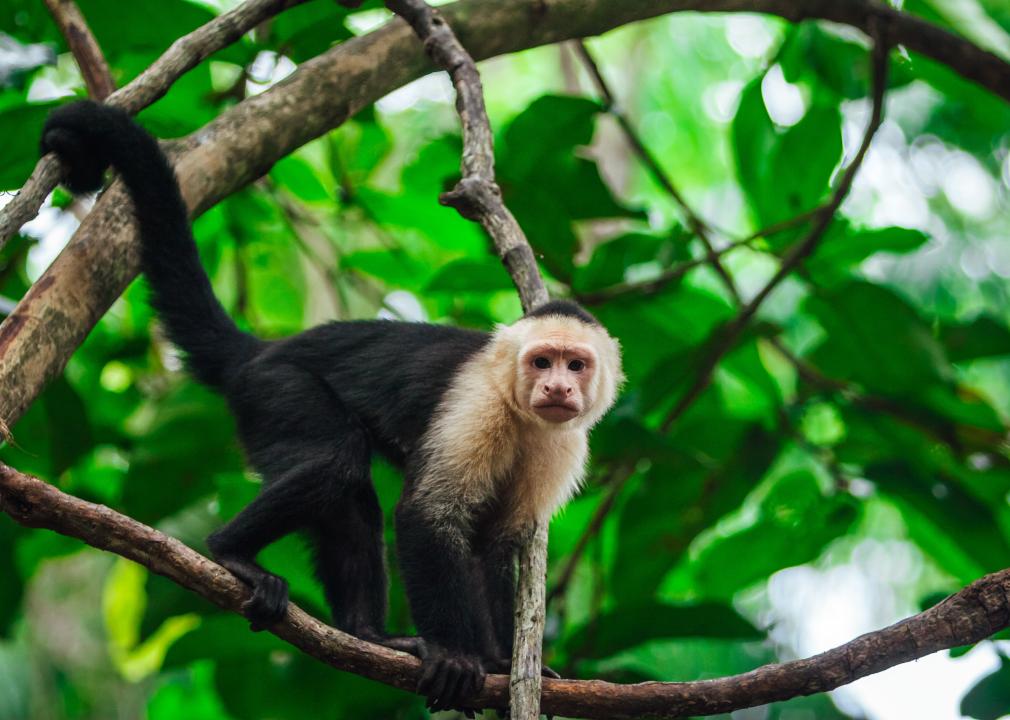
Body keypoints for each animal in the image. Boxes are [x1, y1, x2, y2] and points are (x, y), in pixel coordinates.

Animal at [41, 99, 622, 706]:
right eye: (542, 361)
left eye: (576, 365)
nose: (557, 388)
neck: (521, 413)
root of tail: (262, 351)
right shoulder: (476, 405)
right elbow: (426, 517)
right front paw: (457, 656)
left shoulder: (563, 446)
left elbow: (493, 546)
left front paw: (503, 661)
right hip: (276, 389)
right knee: (336, 460)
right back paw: (231, 553)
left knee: (350, 496)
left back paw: (367, 633)